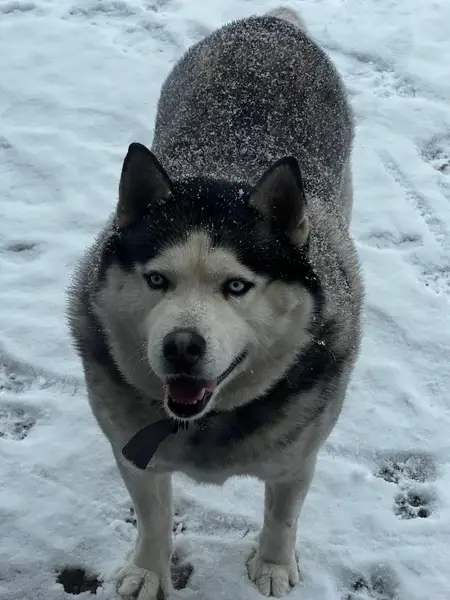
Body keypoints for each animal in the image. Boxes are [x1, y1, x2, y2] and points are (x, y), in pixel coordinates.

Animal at [67, 6, 363, 599]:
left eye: (237, 287)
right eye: (157, 279)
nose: (182, 347)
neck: (206, 420)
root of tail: (269, 22)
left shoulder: (299, 455)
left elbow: (283, 515)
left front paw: (273, 565)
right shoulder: (134, 449)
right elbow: (153, 516)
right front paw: (148, 570)